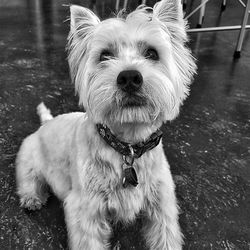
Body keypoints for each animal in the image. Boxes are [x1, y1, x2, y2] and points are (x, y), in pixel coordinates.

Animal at [15, 0, 196, 249]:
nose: (129, 77)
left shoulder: (162, 205)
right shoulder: (85, 210)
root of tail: (47, 122)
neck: (128, 146)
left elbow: (166, 237)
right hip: (28, 158)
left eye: (152, 53)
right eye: (104, 55)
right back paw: (32, 198)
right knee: (29, 180)